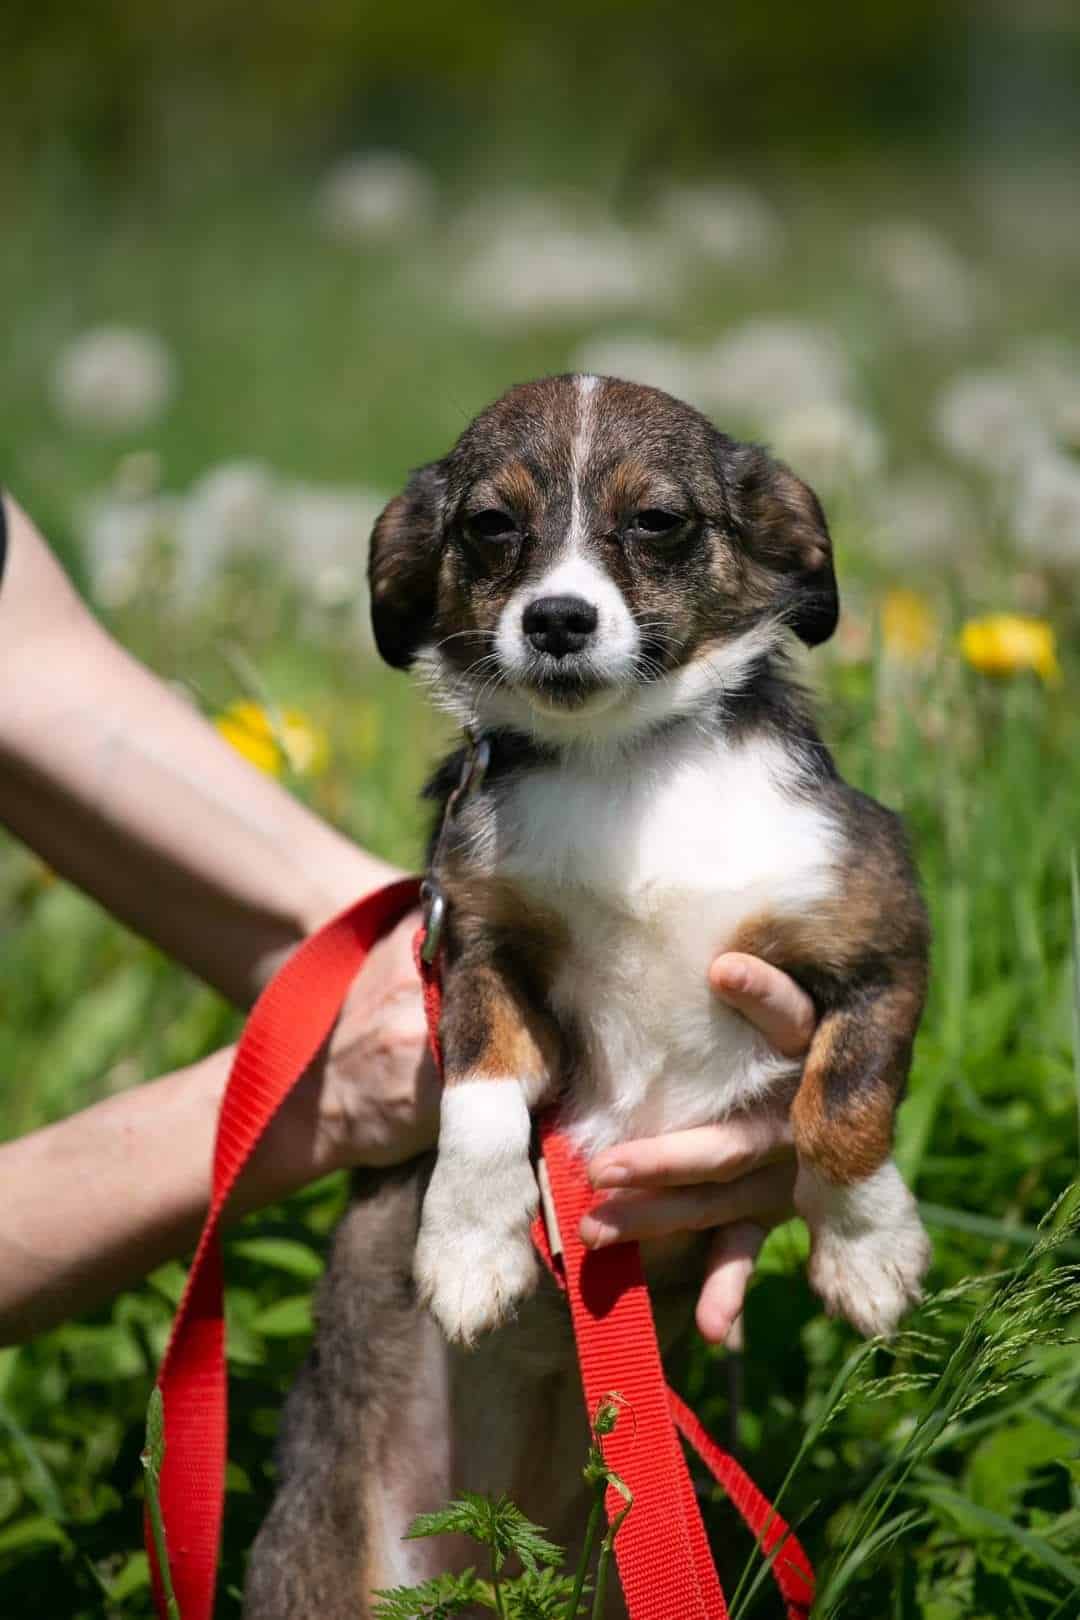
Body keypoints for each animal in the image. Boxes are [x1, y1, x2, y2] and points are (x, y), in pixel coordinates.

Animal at [244, 375, 930, 1618]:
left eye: (657, 522)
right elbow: (481, 1100)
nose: (558, 620)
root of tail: (485, 1564)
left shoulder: (880, 936)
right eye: (490, 526)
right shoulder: (473, 944)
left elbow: (842, 1106)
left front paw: (866, 1247)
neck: (623, 765)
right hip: (313, 1571)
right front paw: (470, 1246)